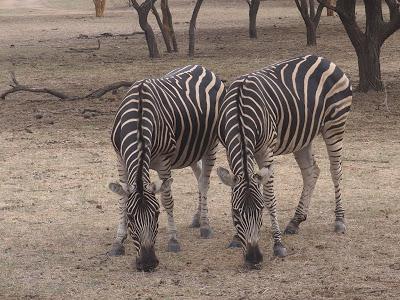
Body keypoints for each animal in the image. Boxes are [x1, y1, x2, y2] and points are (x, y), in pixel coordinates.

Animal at [108, 65, 225, 272]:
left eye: (156, 215)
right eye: (130, 217)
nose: (147, 264)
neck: (139, 118)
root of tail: (203, 68)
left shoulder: (163, 162)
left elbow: (167, 200)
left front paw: (173, 240)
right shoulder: (120, 158)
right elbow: (122, 199)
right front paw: (118, 241)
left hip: (211, 144)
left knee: (204, 182)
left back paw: (204, 225)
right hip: (191, 149)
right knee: (199, 175)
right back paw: (196, 218)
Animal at [217, 54, 352, 268]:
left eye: (260, 210)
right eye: (236, 212)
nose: (253, 259)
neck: (239, 110)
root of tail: (324, 59)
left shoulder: (266, 151)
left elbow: (270, 197)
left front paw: (278, 244)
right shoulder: (230, 150)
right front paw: (236, 238)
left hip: (335, 124)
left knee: (335, 171)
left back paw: (339, 220)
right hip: (303, 135)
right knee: (311, 171)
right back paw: (295, 221)